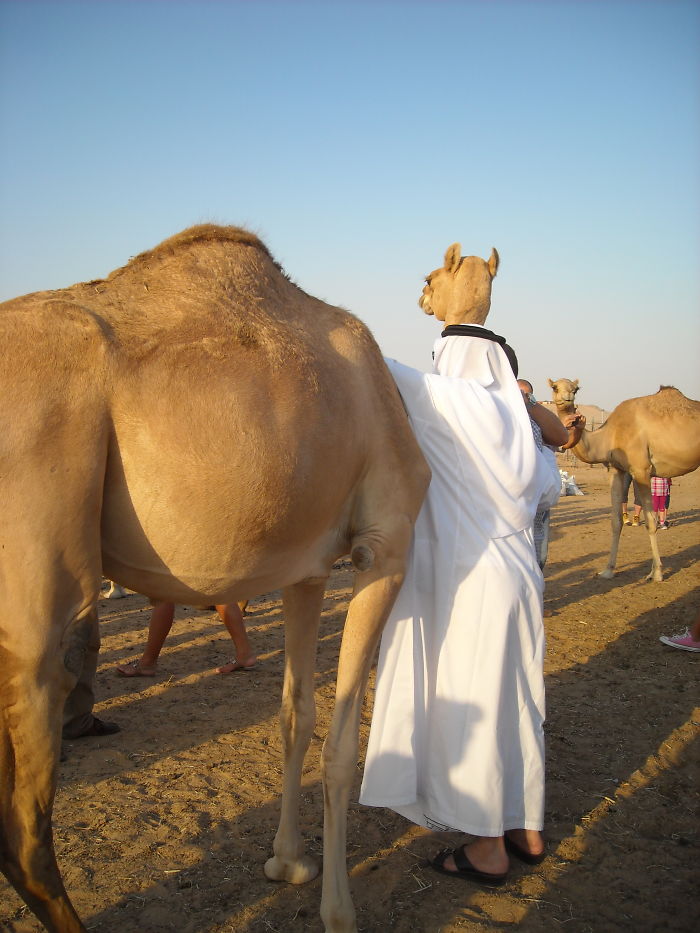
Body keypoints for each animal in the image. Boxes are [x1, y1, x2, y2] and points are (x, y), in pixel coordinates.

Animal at [0, 226, 434, 932]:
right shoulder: (384, 547)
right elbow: (343, 748)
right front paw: (339, 911)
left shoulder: (307, 570)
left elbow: (294, 713)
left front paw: (288, 862)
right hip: (35, 590)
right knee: (24, 822)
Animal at [548, 374, 700, 580]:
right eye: (555, 387)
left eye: (576, 389)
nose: (567, 397)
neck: (608, 435)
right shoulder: (617, 470)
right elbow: (616, 521)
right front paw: (608, 570)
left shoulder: (641, 469)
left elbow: (650, 522)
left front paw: (657, 573)